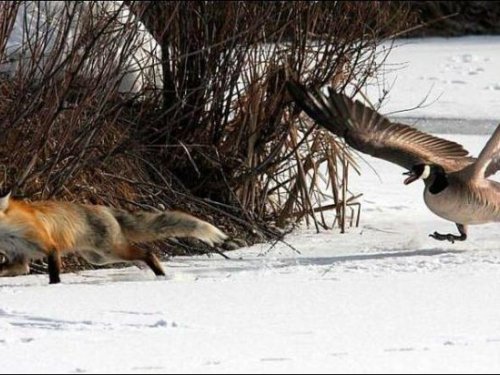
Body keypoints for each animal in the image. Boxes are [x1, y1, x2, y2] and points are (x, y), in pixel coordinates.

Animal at [0, 191, 228, 284]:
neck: (10, 235)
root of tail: (106, 208)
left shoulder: (50, 247)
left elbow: (54, 275)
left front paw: (55, 288)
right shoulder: (19, 260)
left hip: (110, 251)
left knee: (148, 252)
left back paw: (161, 275)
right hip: (99, 258)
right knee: (142, 255)